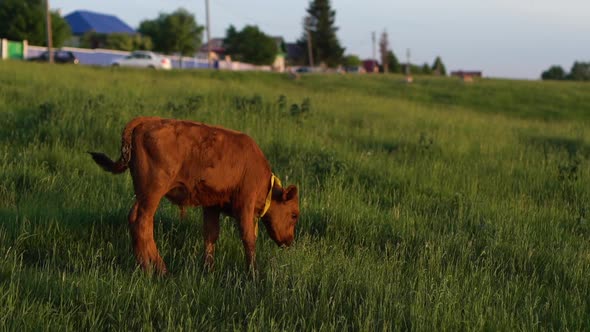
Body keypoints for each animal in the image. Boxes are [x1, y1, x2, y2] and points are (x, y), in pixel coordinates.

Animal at [89, 117, 300, 274]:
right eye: (294, 214)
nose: (289, 241)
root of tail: (145, 121)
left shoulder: (212, 205)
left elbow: (210, 235)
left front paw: (208, 269)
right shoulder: (245, 205)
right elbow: (248, 238)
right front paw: (253, 273)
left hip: (144, 194)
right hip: (152, 192)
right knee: (141, 222)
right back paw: (157, 269)